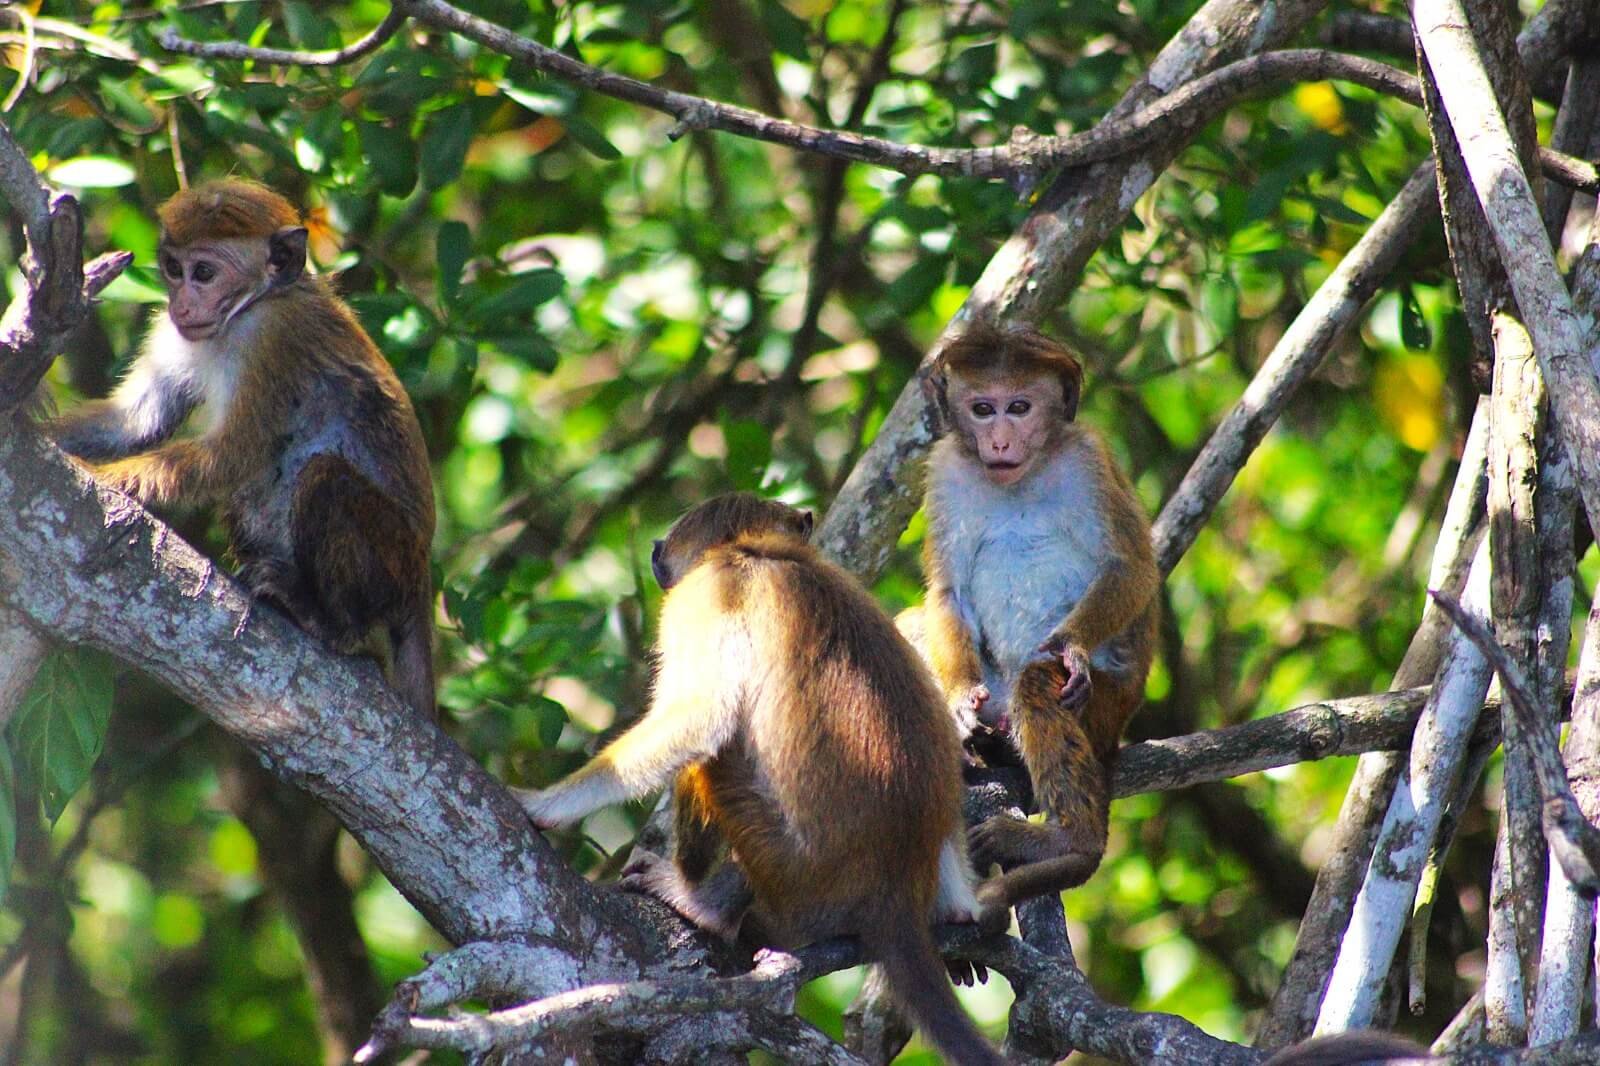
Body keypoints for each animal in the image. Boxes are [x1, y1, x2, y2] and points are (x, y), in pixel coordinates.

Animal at [44, 179, 436, 717]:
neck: (248, 309)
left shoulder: (274, 339)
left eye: (205, 273)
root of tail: (422, 587)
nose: (182, 305)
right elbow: (138, 422)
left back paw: (333, 625)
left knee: (324, 478)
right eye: (174, 268)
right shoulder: (178, 335)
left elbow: (233, 453)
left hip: (395, 564)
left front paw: (107, 479)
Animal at [518, 493, 1003, 1066]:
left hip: (793, 875)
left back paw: (707, 907)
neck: (763, 551)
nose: (658, 550)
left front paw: (544, 806)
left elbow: (702, 718)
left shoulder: (707, 593)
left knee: (716, 753)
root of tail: (896, 885)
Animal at [909, 321, 1159, 924]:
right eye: (983, 409)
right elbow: (947, 596)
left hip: (1105, 709)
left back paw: (1071, 842)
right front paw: (958, 701)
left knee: (1037, 685)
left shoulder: (1089, 461)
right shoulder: (947, 471)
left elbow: (1132, 569)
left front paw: (1069, 646)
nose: (999, 442)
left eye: (1019, 407)